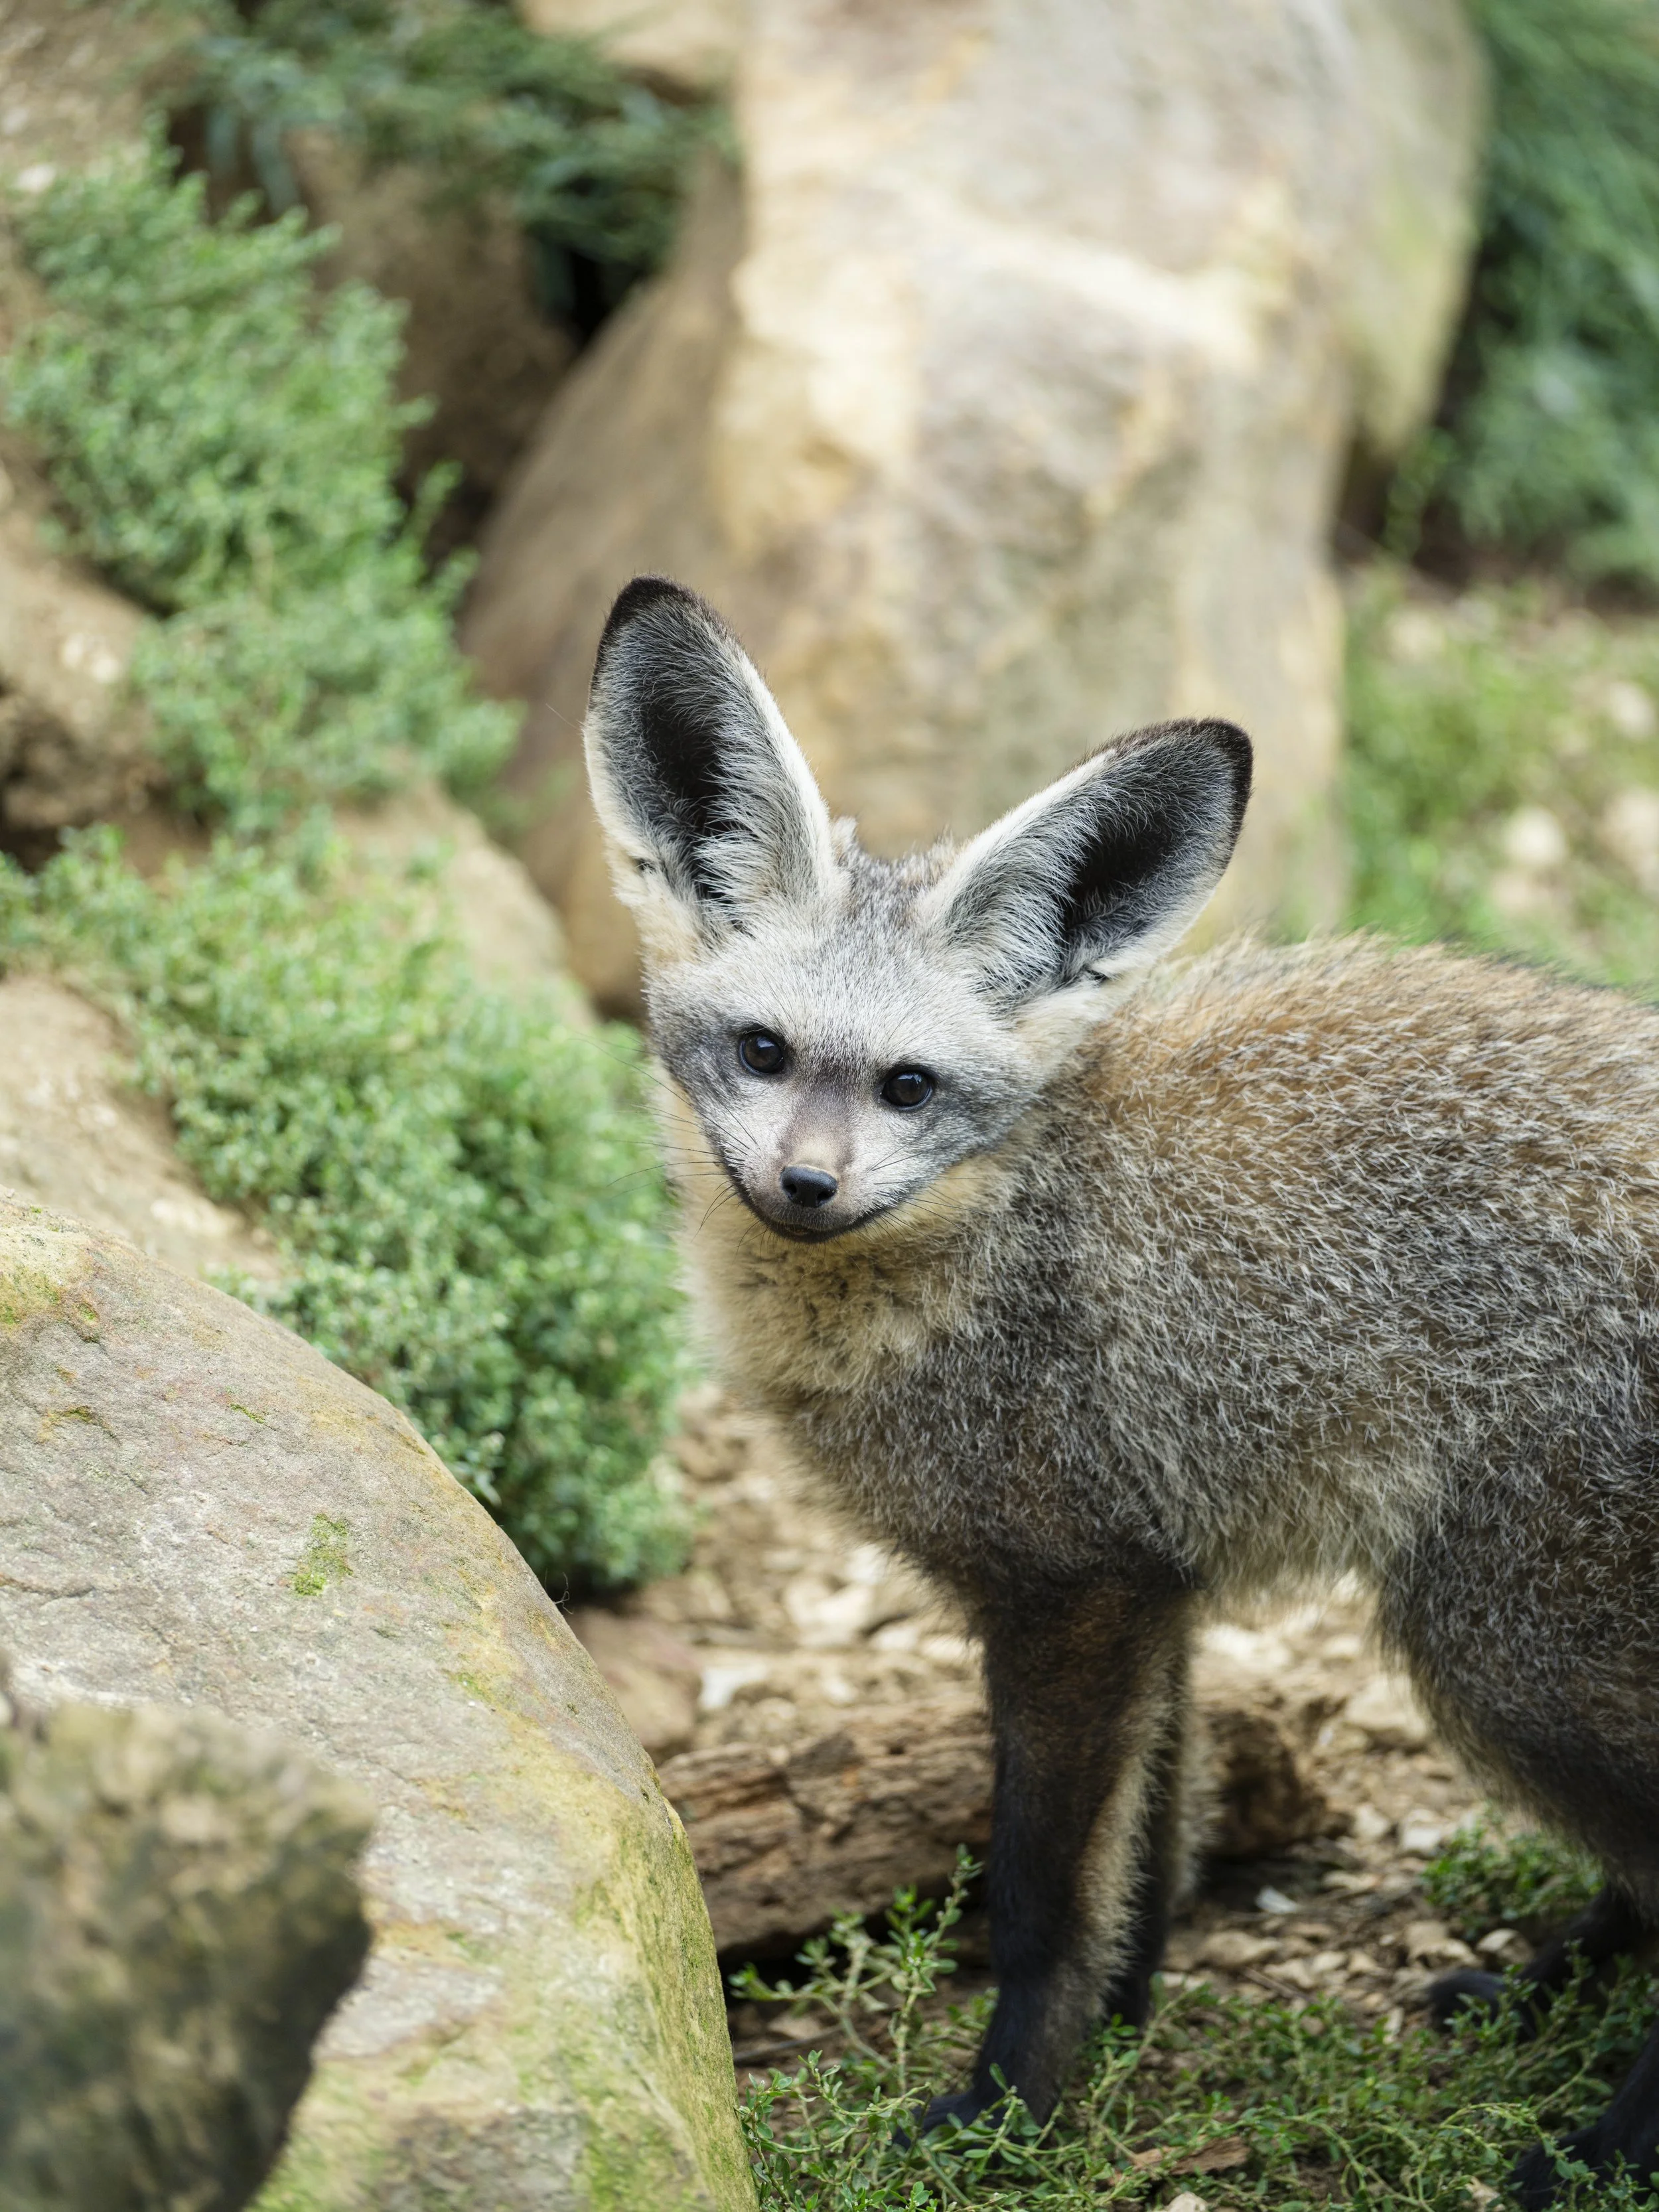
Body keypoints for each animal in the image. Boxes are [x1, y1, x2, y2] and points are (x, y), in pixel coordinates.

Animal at [583, 574, 1659, 2205]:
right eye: (762, 1052)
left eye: (907, 1086)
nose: (805, 1186)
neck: (1003, 1227)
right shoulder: (1158, 1578)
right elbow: (1149, 1854)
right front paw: (1122, 2026)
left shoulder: (1069, 1590)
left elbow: (1041, 1894)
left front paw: (1009, 2110)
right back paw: (1551, 1991)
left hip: (1501, 1657)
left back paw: (1603, 2147)